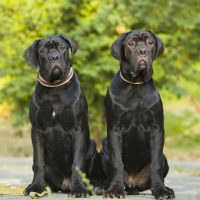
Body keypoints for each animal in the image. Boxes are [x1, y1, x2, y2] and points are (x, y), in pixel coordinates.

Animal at [23, 35, 95, 198]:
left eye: (62, 47)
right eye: (43, 51)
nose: (54, 57)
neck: (55, 88)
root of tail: (65, 185)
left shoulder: (78, 129)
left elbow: (77, 163)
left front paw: (79, 189)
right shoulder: (37, 130)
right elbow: (38, 162)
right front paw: (36, 187)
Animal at [102, 30, 174, 199]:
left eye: (150, 42)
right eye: (131, 43)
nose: (142, 51)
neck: (136, 86)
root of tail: (131, 184)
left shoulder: (157, 129)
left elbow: (155, 164)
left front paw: (161, 191)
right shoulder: (114, 129)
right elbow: (117, 162)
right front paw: (114, 190)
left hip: (165, 158)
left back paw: (166, 189)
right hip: (104, 148)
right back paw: (102, 187)